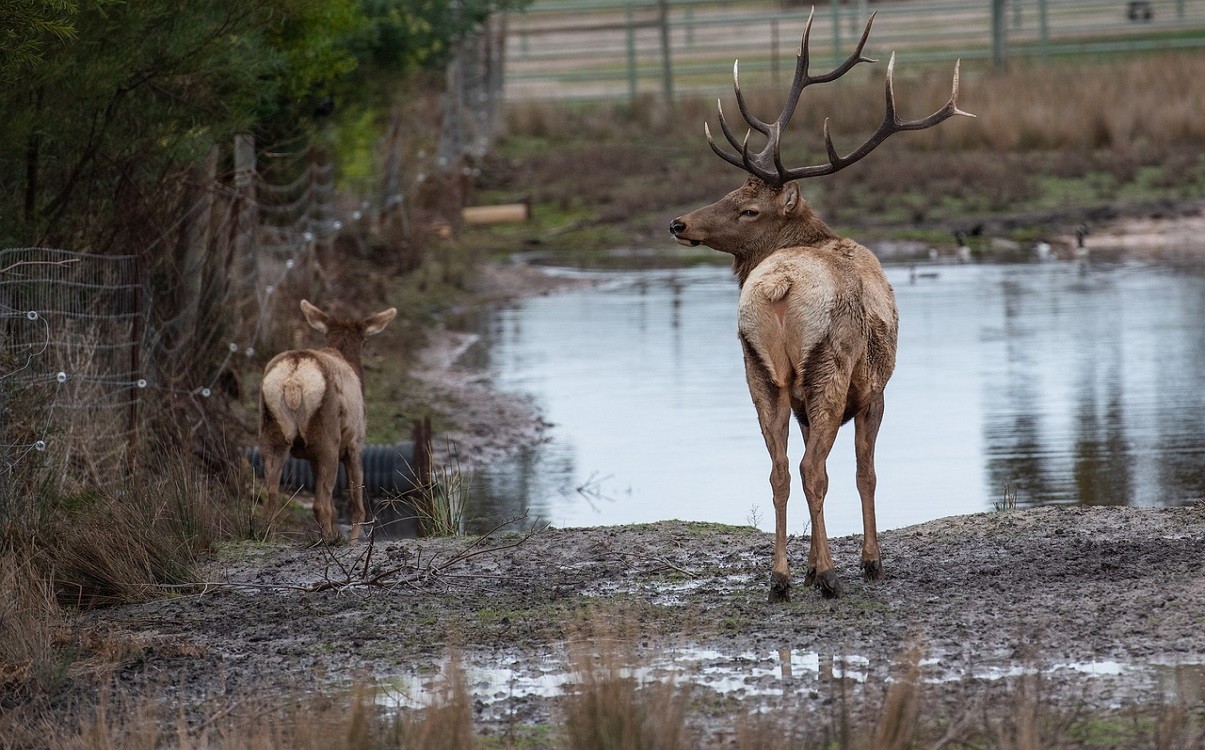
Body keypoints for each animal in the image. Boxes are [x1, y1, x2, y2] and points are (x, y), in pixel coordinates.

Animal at [259, 297, 395, 540]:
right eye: (366, 339)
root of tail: (293, 379)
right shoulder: (355, 443)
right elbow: (357, 506)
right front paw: (353, 540)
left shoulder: (313, 457)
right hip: (326, 437)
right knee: (320, 504)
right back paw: (330, 541)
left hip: (272, 432)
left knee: (272, 493)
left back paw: (270, 538)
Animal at [674, 10, 973, 605]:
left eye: (746, 207)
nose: (679, 223)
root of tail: (780, 286)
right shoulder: (876, 389)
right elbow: (865, 473)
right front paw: (866, 562)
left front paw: (809, 567)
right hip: (830, 365)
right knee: (814, 468)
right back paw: (833, 577)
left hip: (759, 370)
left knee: (779, 469)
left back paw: (781, 578)